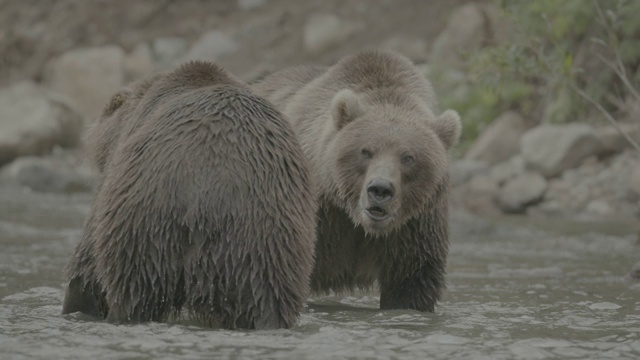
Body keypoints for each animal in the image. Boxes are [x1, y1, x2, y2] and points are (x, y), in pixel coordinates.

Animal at [62, 59, 318, 330]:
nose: (87, 135)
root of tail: (206, 201)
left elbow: (87, 256)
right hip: (270, 240)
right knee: (268, 295)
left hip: (145, 222)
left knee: (133, 289)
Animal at [252, 50, 462, 312]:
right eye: (366, 151)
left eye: (408, 158)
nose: (380, 189)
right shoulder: (318, 217)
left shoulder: (414, 229)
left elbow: (412, 285)